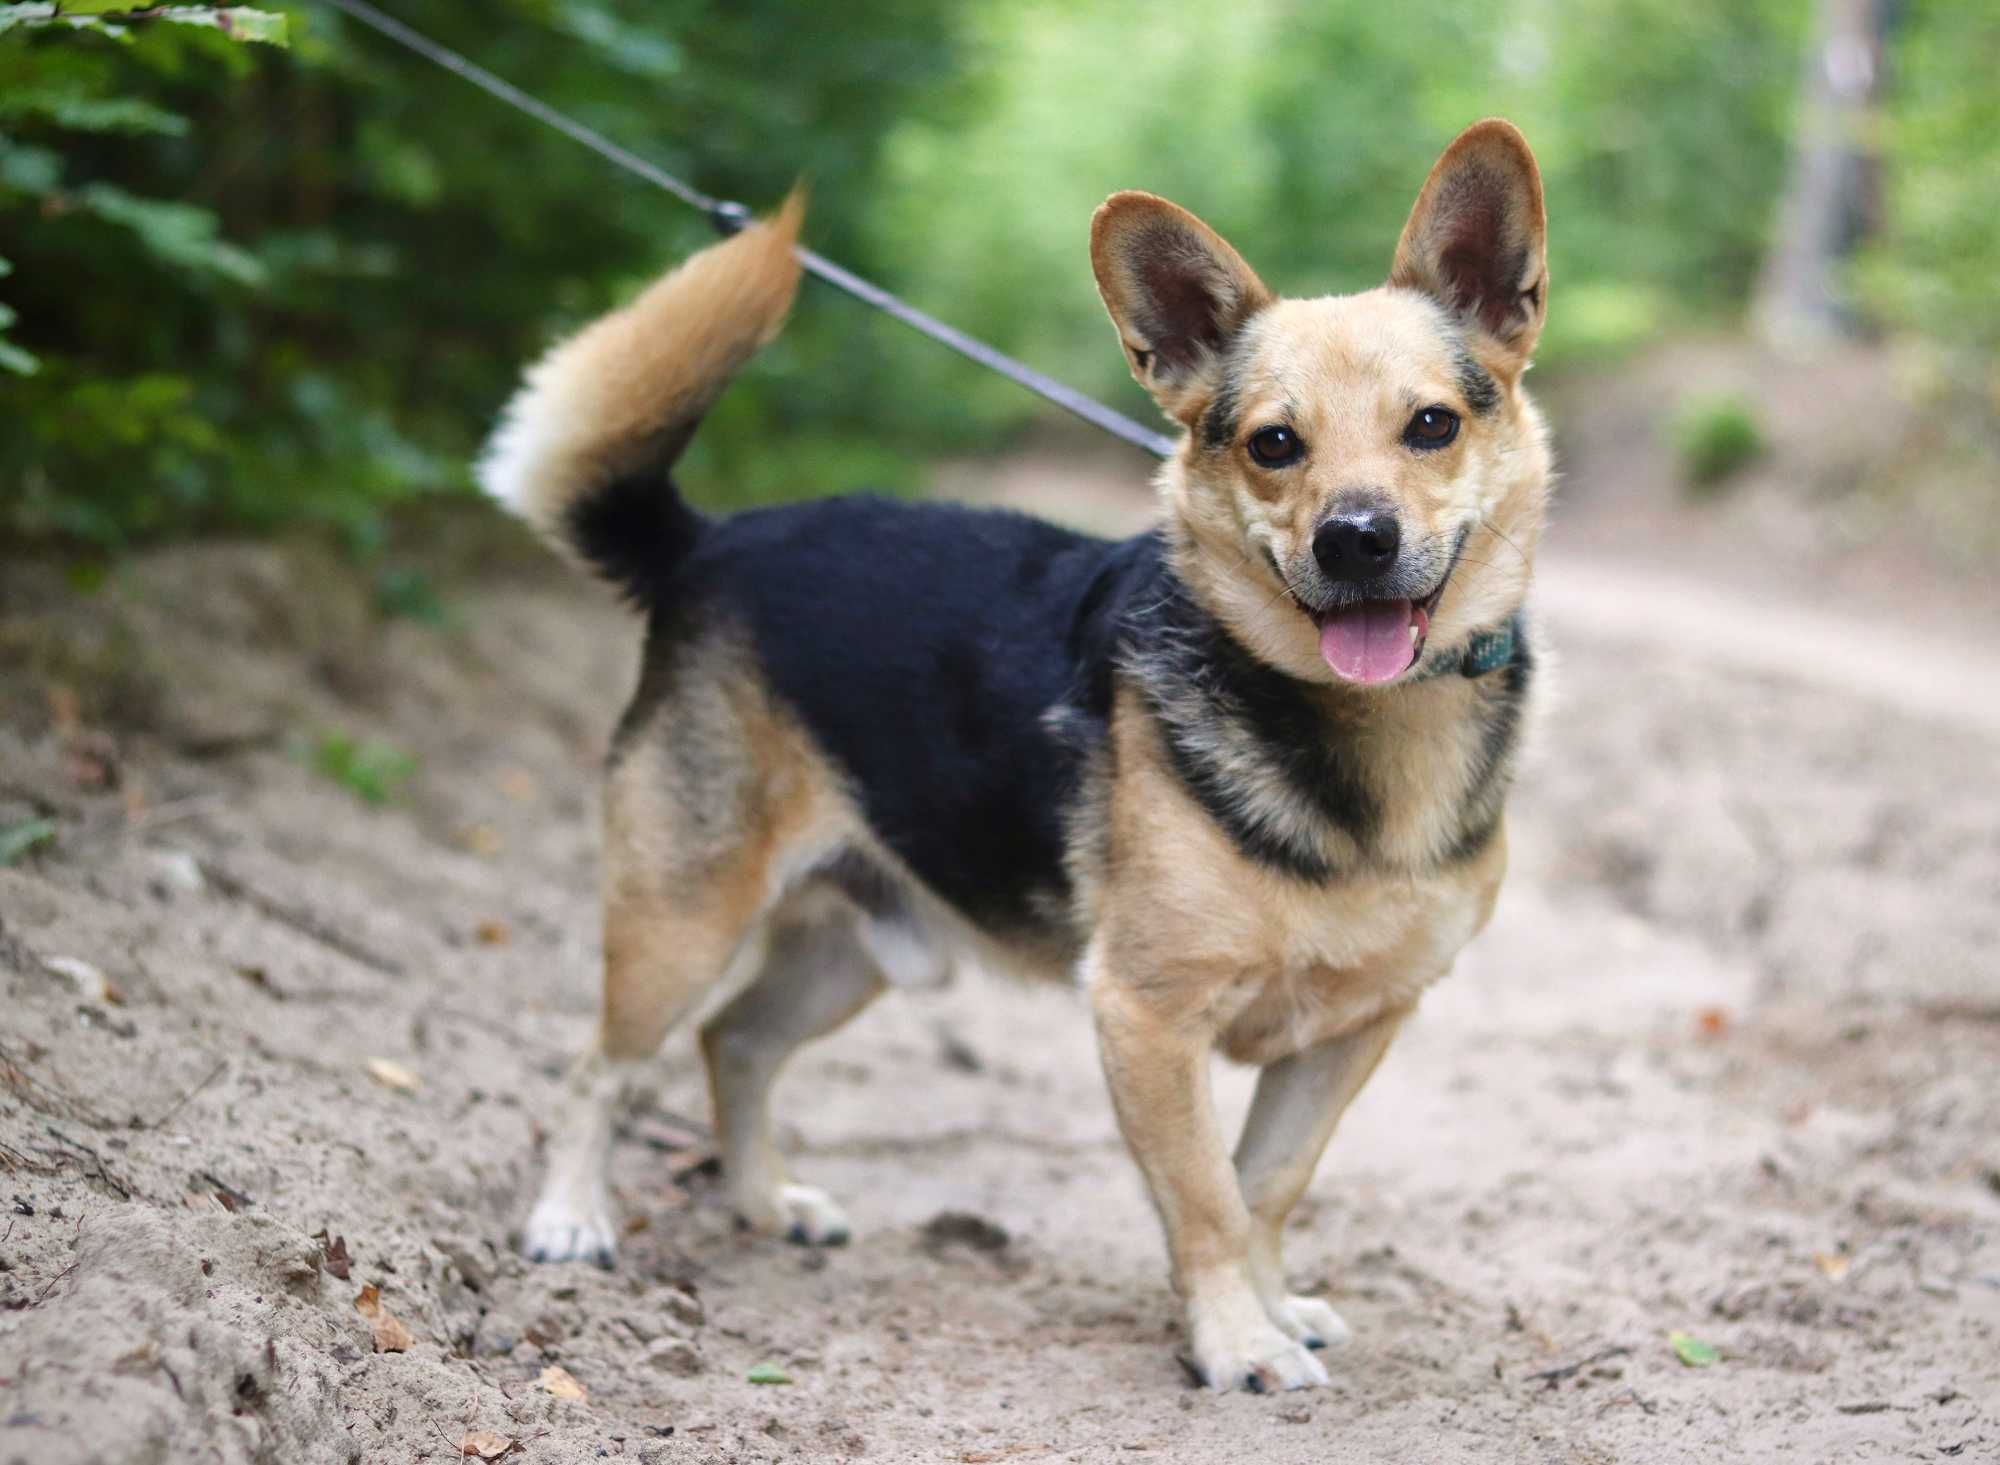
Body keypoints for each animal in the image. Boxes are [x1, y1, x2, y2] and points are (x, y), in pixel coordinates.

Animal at [480, 120, 1544, 1392]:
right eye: (1273, 445)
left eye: (1430, 425)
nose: (1354, 540)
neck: (1356, 731)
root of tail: (707, 540)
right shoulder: (1145, 1017)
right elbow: (1203, 1196)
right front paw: (1237, 1341)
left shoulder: (1350, 1030)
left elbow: (1264, 1187)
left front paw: (1270, 1309)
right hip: (680, 919)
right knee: (603, 1063)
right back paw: (569, 1217)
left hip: (857, 945)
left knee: (731, 1039)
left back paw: (763, 1203)